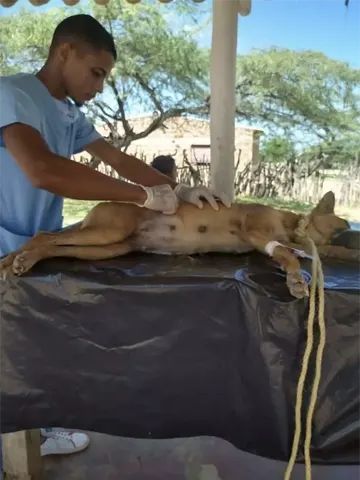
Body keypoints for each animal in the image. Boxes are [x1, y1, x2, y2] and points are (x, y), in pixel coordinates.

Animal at [0, 190, 360, 296]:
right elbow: (288, 253)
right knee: (45, 235)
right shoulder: (255, 230)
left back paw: (15, 261)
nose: (354, 231)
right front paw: (297, 279)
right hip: (106, 232)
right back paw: (20, 259)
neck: (291, 224)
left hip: (108, 247)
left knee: (53, 245)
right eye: (344, 225)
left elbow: (296, 252)